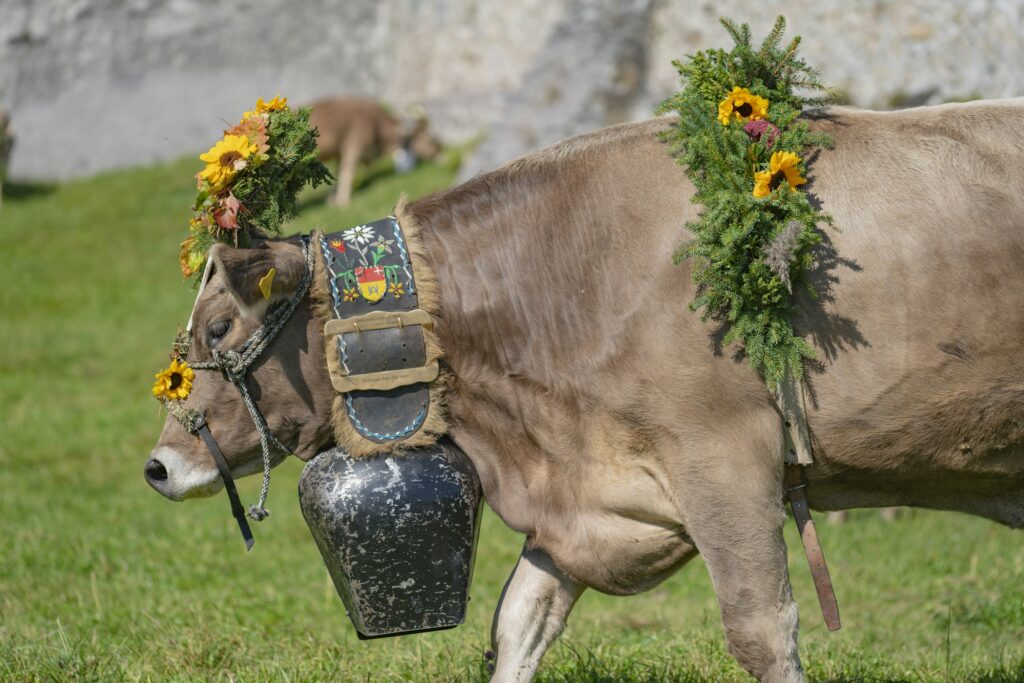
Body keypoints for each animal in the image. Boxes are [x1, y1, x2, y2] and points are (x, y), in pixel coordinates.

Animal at [309, 97, 442, 206]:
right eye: (431, 138)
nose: (440, 154)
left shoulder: (340, 152)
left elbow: (337, 174)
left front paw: (332, 200)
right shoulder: (354, 147)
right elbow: (347, 174)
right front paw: (343, 202)